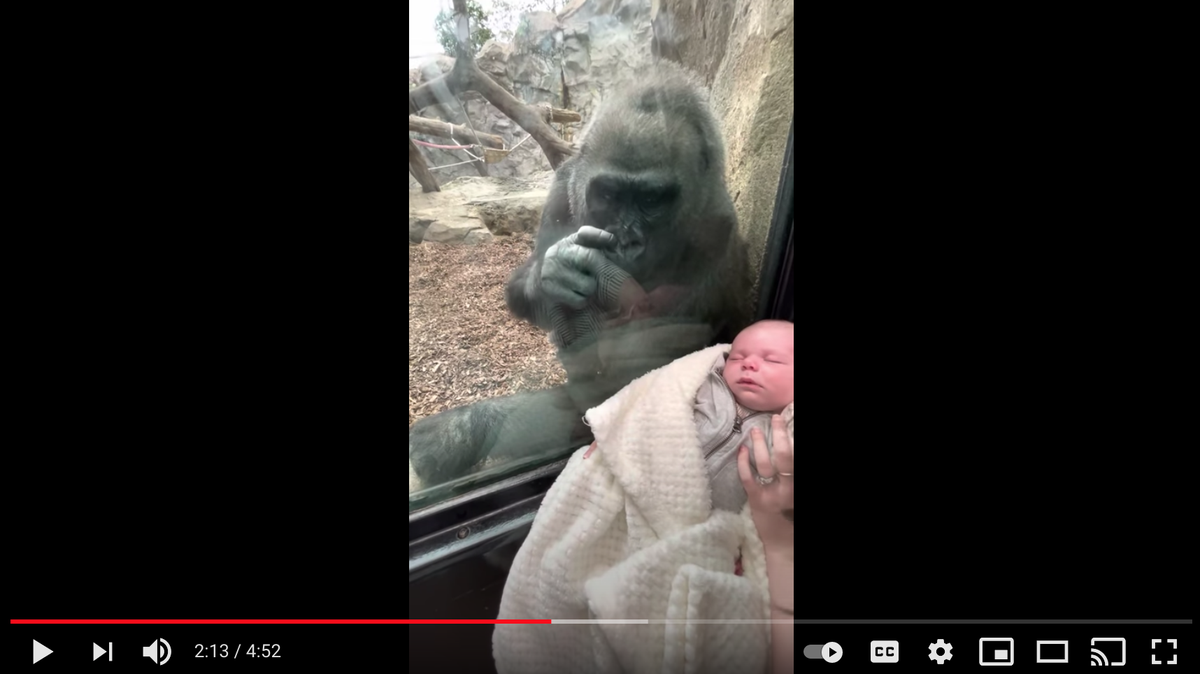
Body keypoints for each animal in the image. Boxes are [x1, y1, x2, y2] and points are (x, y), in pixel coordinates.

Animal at [409, 62, 751, 488]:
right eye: (608, 194)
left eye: (651, 199)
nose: (626, 241)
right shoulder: (564, 183)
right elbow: (536, 281)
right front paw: (556, 272)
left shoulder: (716, 228)